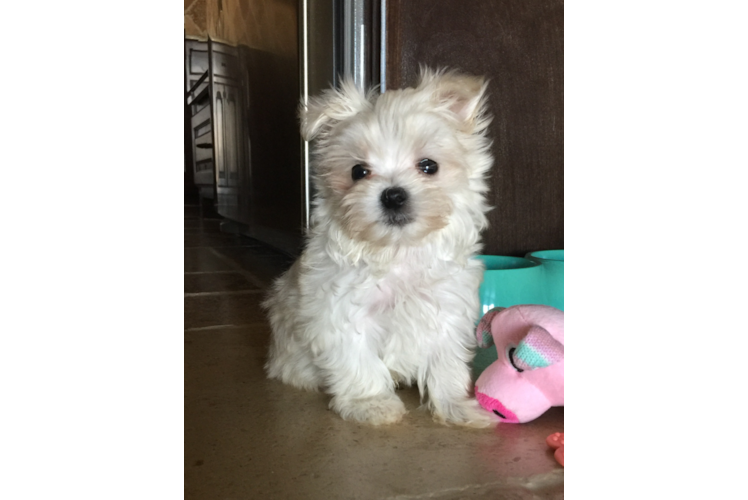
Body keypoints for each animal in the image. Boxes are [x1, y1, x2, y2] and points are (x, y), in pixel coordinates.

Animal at [264, 66, 496, 426]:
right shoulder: (342, 313)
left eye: (429, 166)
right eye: (358, 171)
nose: (393, 195)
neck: (397, 251)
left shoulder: (446, 312)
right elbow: (359, 362)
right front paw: (371, 404)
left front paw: (455, 407)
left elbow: (446, 365)